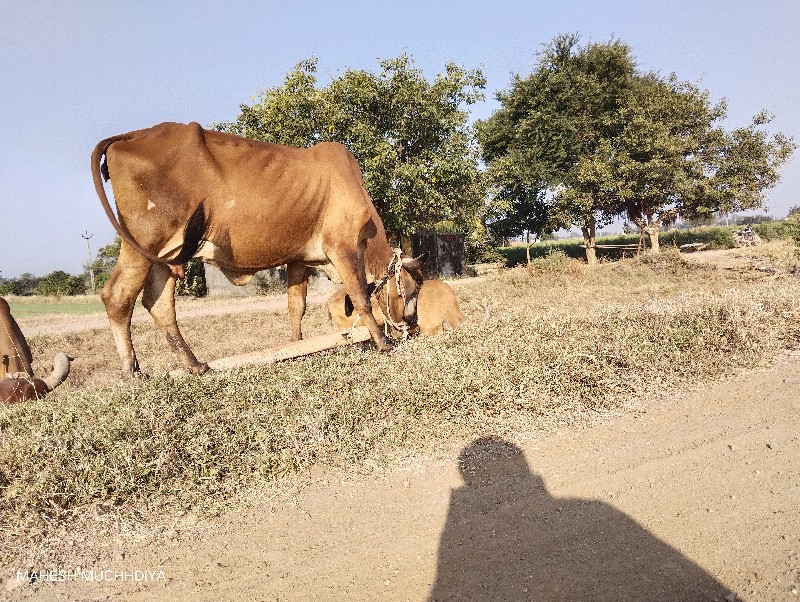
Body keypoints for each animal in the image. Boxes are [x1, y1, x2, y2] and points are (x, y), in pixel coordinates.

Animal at [91, 122, 428, 376]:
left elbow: (296, 306)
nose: (413, 327)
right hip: (143, 244)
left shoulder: (299, 259)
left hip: (165, 256)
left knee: (158, 304)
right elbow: (360, 298)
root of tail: (132, 135)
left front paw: (296, 346)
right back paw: (133, 372)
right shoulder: (342, 247)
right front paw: (383, 343)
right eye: (409, 292)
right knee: (118, 297)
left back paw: (195, 365)